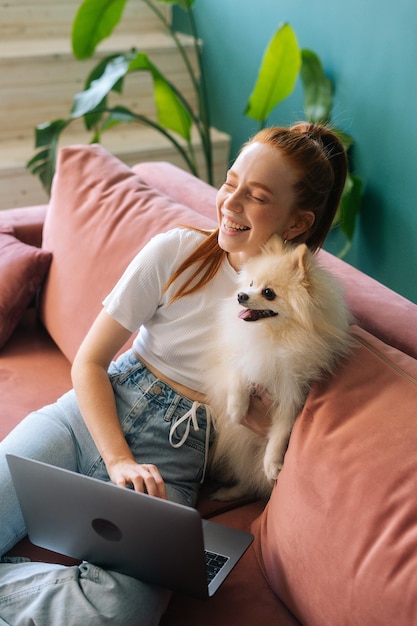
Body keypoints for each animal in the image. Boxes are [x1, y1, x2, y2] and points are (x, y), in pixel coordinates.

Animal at [205, 235, 352, 502]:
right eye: (251, 283)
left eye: (268, 293)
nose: (241, 295)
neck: (275, 336)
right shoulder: (239, 354)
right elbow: (238, 375)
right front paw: (236, 409)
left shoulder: (292, 390)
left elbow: (281, 431)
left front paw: (273, 463)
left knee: (251, 482)